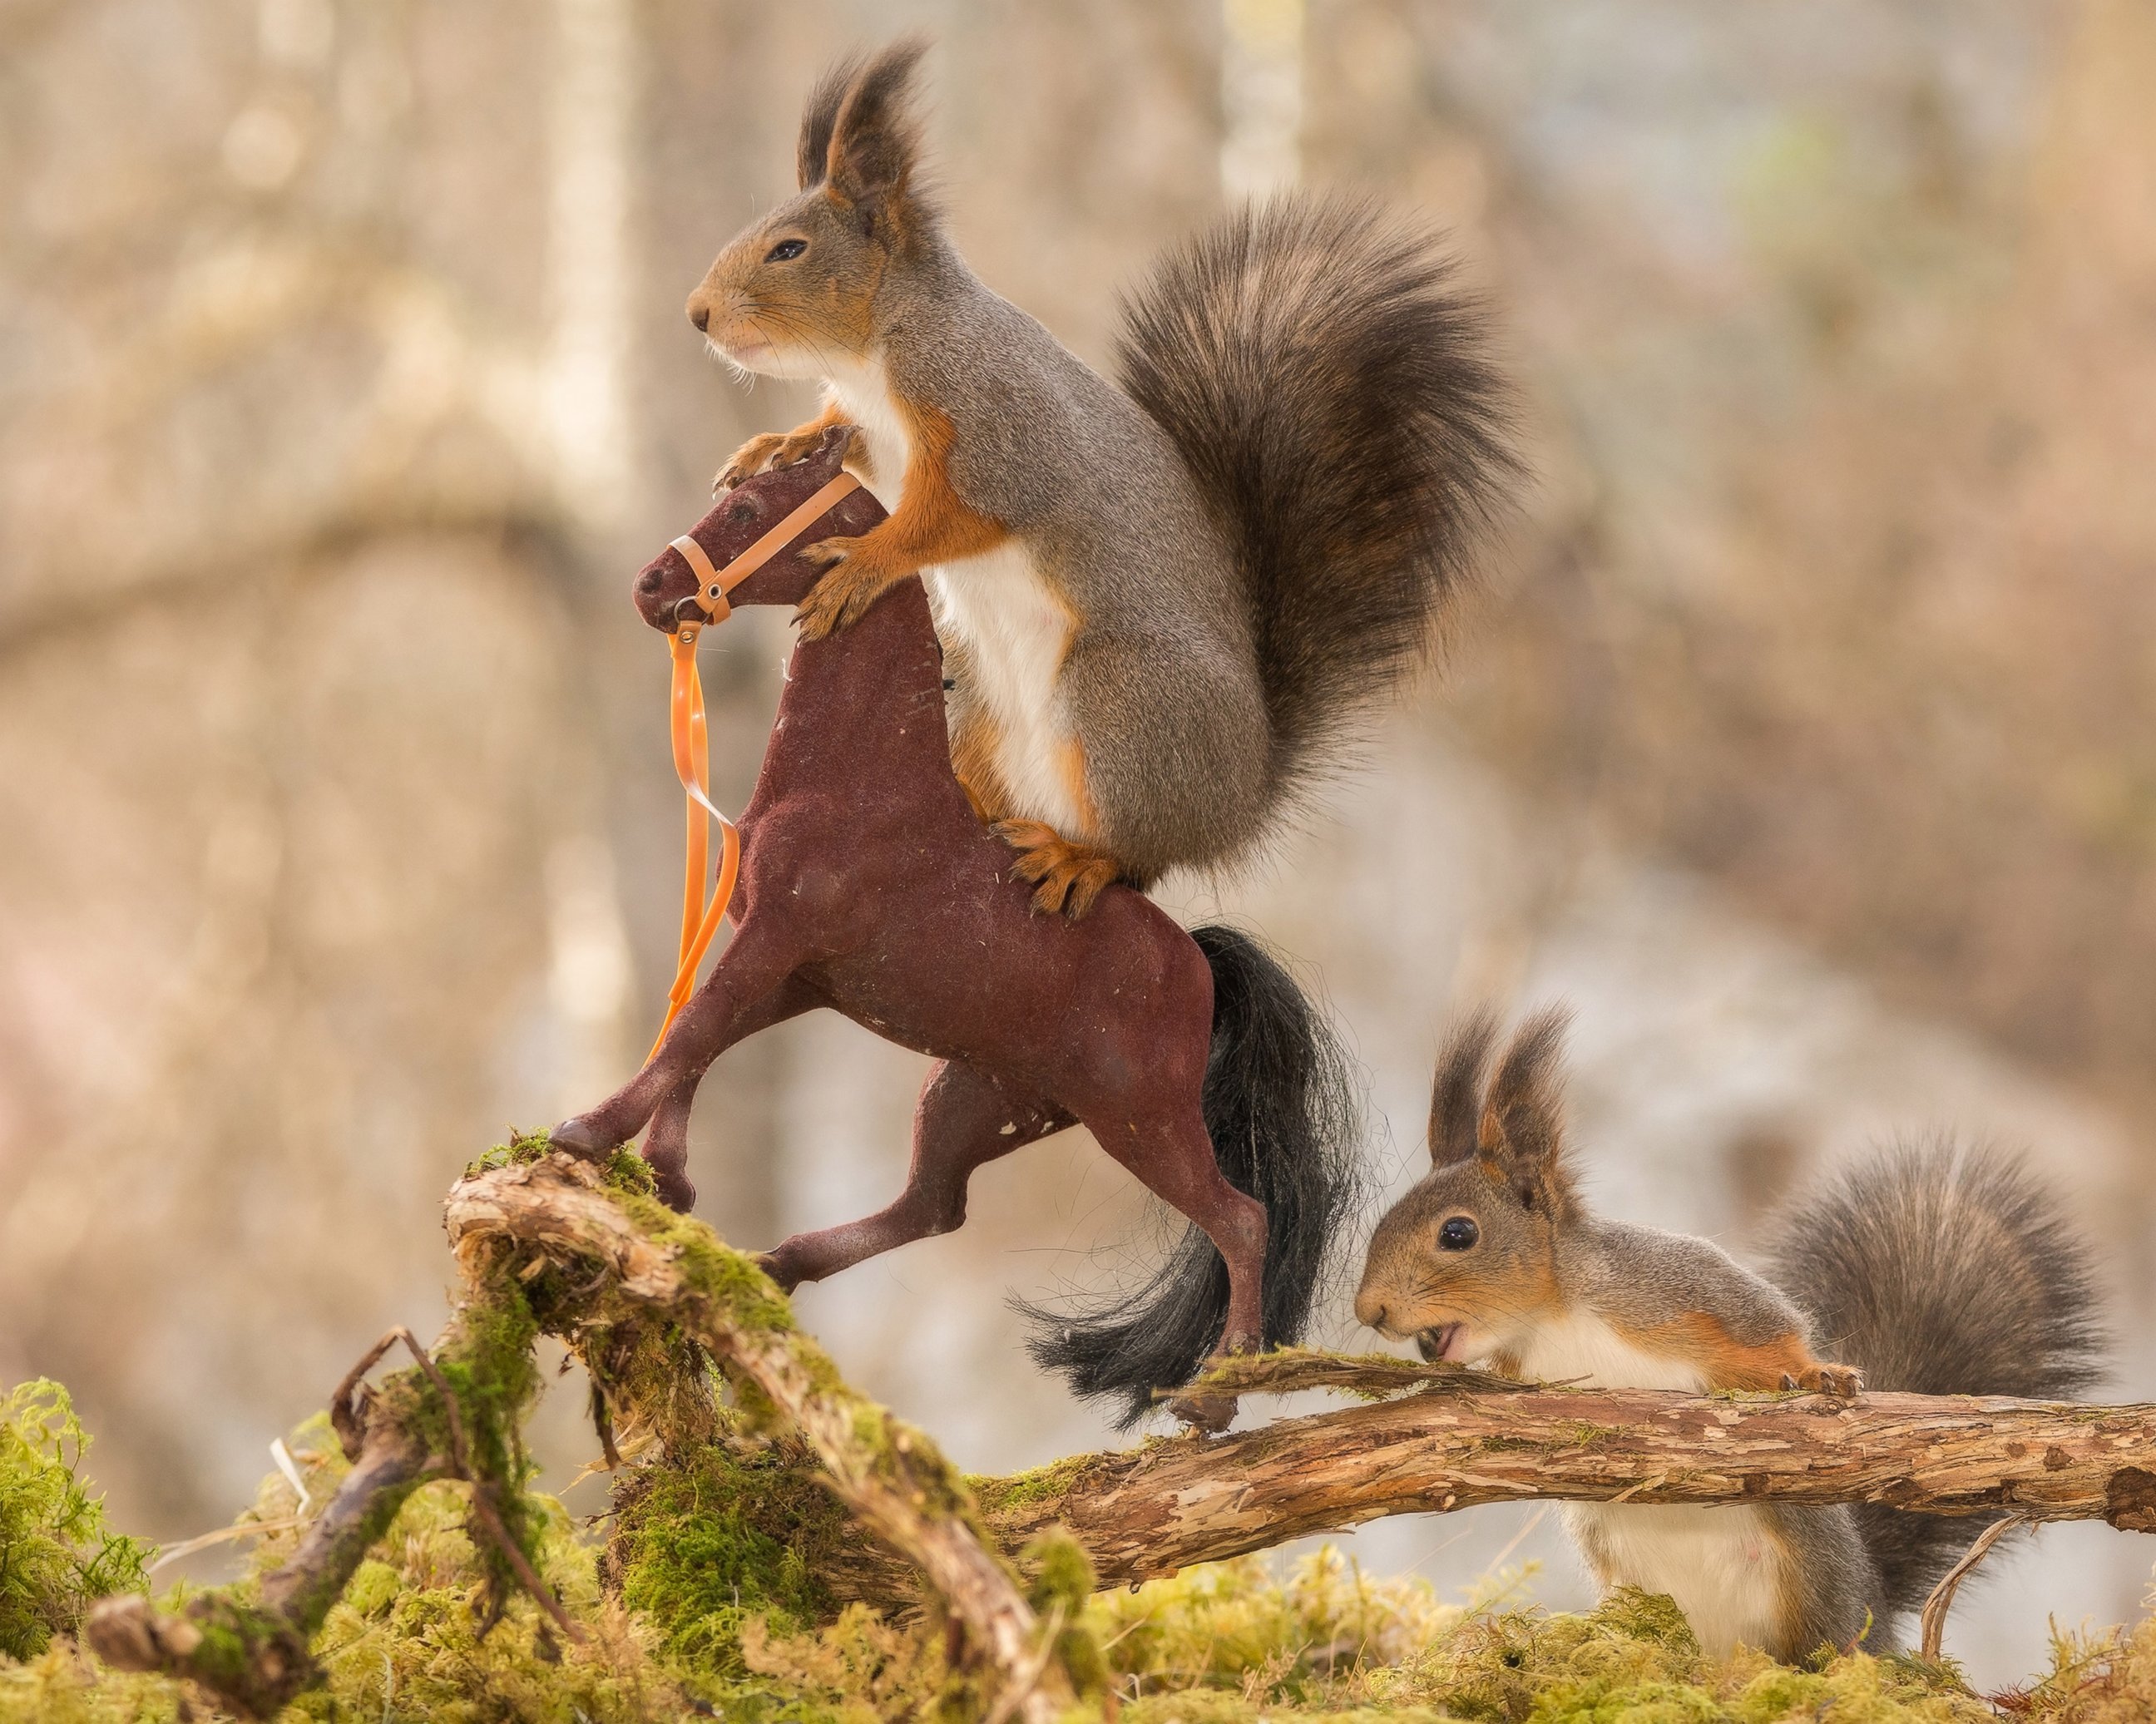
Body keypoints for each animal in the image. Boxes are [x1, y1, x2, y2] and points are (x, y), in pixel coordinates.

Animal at [685, 40, 1517, 913]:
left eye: (789, 249)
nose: (696, 314)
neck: (877, 356)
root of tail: (1240, 801)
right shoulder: (878, 435)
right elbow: (845, 447)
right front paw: (776, 444)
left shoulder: (1000, 432)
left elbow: (951, 517)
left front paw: (863, 564)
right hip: (976, 696)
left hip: (1119, 703)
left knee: (1135, 856)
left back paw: (1076, 858)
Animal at [1362, 1004, 2104, 1663]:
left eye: (1459, 1233)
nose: (1369, 1309)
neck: (1555, 1322)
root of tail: (1872, 1604)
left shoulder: (1682, 1290)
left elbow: (1777, 1330)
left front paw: (1821, 1374)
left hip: (1809, 1585)